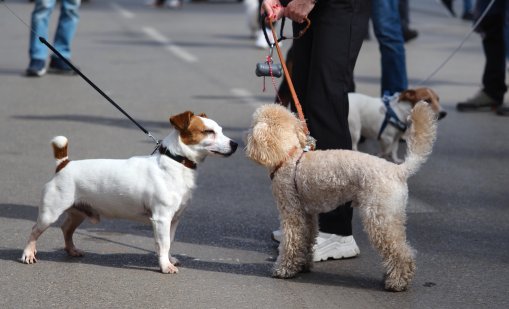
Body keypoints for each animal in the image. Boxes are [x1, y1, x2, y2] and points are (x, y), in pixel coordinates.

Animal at [20, 110, 237, 272]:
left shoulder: (173, 220)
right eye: (208, 131)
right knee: (34, 231)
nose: (235, 144)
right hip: (49, 214)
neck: (176, 161)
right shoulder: (162, 218)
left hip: (79, 212)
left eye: (220, 130)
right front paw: (165, 266)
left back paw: (72, 251)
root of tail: (64, 164)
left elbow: (168, 242)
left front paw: (168, 259)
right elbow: (164, 243)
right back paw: (28, 254)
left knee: (66, 229)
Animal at [246, 102, 436, 290]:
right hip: (393, 214)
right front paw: (303, 265)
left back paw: (398, 282)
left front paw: (284, 269)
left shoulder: (291, 210)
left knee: (401, 251)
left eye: (254, 122)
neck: (290, 157)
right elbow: (306, 238)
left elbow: (292, 240)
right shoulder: (307, 213)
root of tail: (398, 170)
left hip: (379, 216)